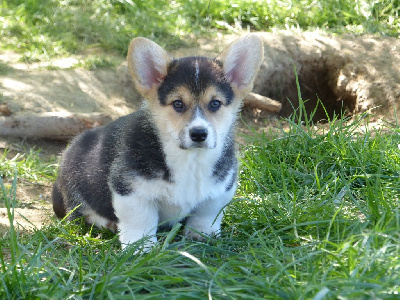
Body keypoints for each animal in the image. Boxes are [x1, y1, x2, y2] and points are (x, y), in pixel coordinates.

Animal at [52, 34, 266, 250]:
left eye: (215, 103)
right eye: (178, 103)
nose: (199, 134)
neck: (190, 159)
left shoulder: (220, 191)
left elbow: (206, 215)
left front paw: (202, 237)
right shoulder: (131, 192)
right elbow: (141, 223)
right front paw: (141, 249)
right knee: (80, 214)